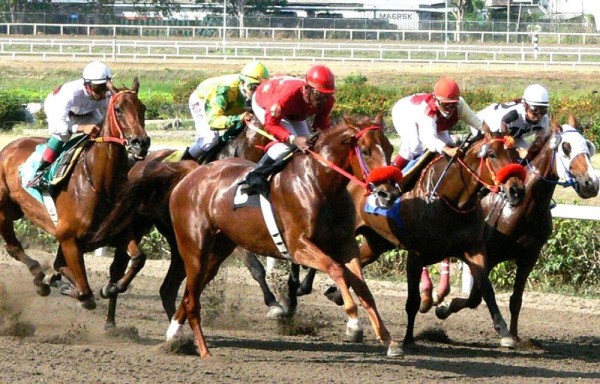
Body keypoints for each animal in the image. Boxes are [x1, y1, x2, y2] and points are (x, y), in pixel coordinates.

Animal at [0, 79, 149, 308]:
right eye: (118, 109)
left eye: (143, 108)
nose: (141, 143)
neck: (100, 184)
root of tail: (9, 146)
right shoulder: (68, 239)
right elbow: (85, 295)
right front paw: (57, 282)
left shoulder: (118, 231)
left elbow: (139, 258)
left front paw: (111, 287)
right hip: (4, 212)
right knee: (13, 248)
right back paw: (39, 277)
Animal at [166, 118, 406, 358]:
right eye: (365, 151)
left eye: (389, 148)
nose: (389, 194)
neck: (318, 183)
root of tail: (189, 176)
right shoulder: (298, 246)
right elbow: (335, 269)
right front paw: (354, 324)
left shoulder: (345, 245)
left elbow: (363, 288)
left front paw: (389, 340)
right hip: (195, 248)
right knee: (192, 292)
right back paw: (195, 345)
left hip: (220, 248)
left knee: (191, 291)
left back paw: (174, 333)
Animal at [434, 113, 596, 340]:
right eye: (566, 147)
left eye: (588, 146)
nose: (591, 183)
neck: (522, 208)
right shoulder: (488, 256)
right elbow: (476, 298)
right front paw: (444, 309)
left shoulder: (528, 257)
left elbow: (515, 300)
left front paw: (515, 336)